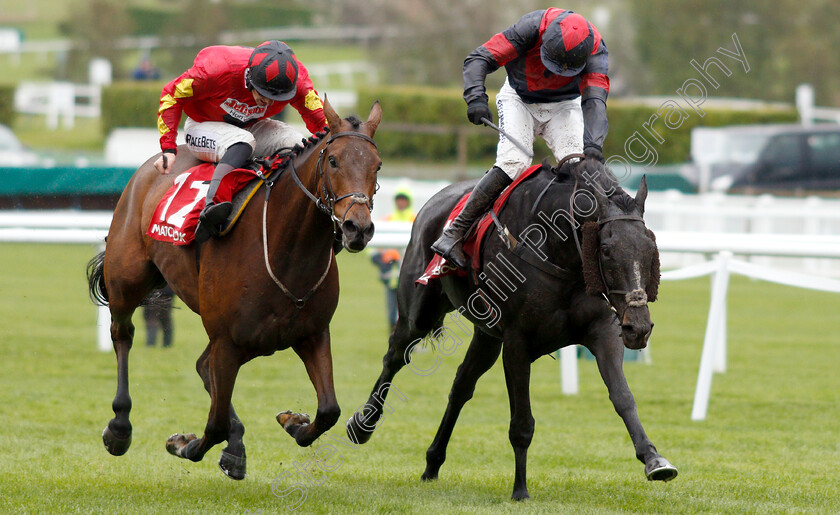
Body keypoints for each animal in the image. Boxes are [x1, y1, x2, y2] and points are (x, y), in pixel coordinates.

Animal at [87, 100, 382, 480]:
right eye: (333, 161)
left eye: (377, 165)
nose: (357, 228)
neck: (286, 249)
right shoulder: (227, 340)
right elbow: (212, 426)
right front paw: (185, 444)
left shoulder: (311, 333)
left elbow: (329, 410)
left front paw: (293, 422)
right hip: (127, 279)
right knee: (123, 335)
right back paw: (120, 427)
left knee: (202, 366)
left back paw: (236, 442)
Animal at [344, 156, 680, 500]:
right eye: (607, 250)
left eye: (651, 248)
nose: (639, 328)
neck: (560, 253)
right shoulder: (518, 342)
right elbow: (522, 423)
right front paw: (520, 490)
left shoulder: (603, 331)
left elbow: (623, 397)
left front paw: (654, 459)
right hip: (419, 312)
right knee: (395, 357)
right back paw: (362, 424)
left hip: (486, 336)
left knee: (461, 386)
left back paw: (432, 462)